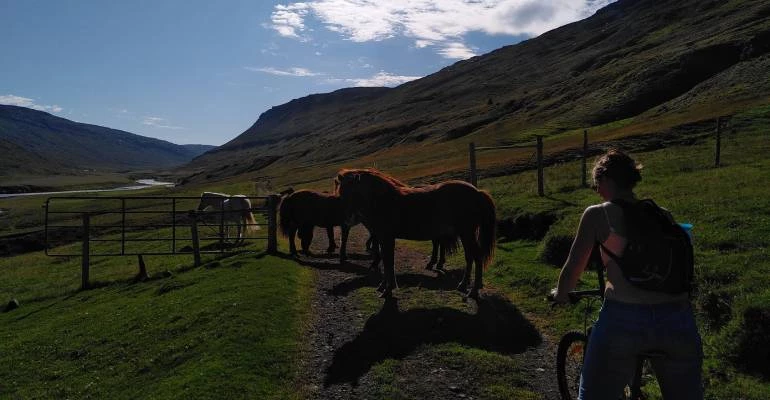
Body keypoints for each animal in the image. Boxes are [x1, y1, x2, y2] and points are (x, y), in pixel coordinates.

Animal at [332, 167, 496, 298]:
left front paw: (388, 290)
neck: (384, 202)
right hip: (465, 235)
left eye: (351, 192)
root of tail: (477, 192)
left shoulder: (387, 238)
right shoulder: (382, 238)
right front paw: (383, 286)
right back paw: (463, 285)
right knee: (470, 257)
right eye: (341, 192)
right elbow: (385, 260)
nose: (346, 220)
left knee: (476, 257)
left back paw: (473, 290)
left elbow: (388, 262)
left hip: (467, 233)